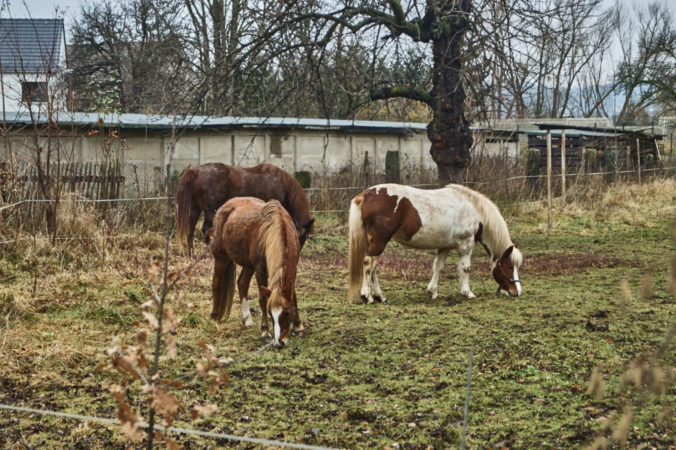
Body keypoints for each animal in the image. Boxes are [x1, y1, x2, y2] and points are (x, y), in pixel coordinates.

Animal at [173, 163, 312, 255]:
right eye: (302, 236)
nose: (296, 254)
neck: (282, 186)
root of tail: (196, 171)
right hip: (210, 212)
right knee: (206, 230)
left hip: (195, 209)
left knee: (191, 229)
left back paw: (191, 253)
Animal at [210, 197, 302, 348]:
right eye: (270, 313)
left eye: (287, 312)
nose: (279, 342)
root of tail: (226, 205)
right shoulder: (260, 270)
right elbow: (263, 300)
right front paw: (265, 331)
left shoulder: (293, 269)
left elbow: (293, 296)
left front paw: (299, 326)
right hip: (221, 257)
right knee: (217, 281)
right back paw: (215, 316)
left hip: (248, 264)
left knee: (242, 283)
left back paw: (247, 319)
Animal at [346, 183, 524, 302]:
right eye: (509, 266)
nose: (516, 291)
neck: (474, 209)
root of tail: (365, 195)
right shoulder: (466, 245)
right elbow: (465, 269)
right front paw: (467, 293)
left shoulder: (444, 247)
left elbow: (438, 267)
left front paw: (432, 292)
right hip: (379, 242)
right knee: (368, 264)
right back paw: (367, 296)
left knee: (373, 268)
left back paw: (380, 296)